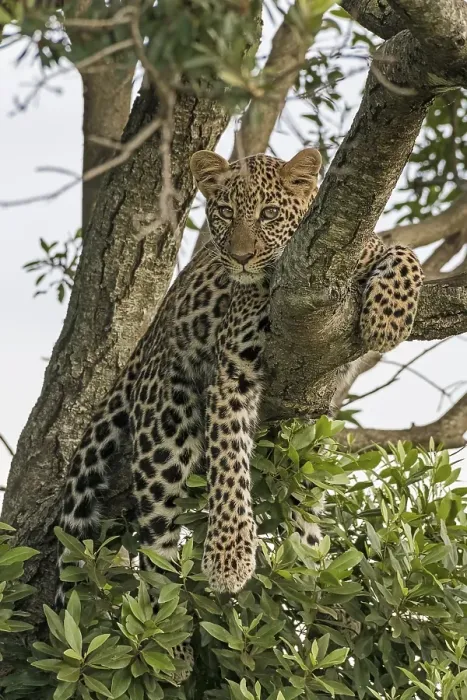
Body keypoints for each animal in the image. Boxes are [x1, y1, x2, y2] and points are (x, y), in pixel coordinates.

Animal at [55, 147, 423, 679]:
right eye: (225, 212)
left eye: (269, 214)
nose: (241, 256)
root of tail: (140, 350)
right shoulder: (233, 369)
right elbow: (229, 463)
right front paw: (230, 558)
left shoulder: (362, 255)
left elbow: (403, 252)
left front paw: (388, 319)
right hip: (163, 427)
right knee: (158, 541)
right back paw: (171, 642)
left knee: (305, 511)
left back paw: (318, 587)